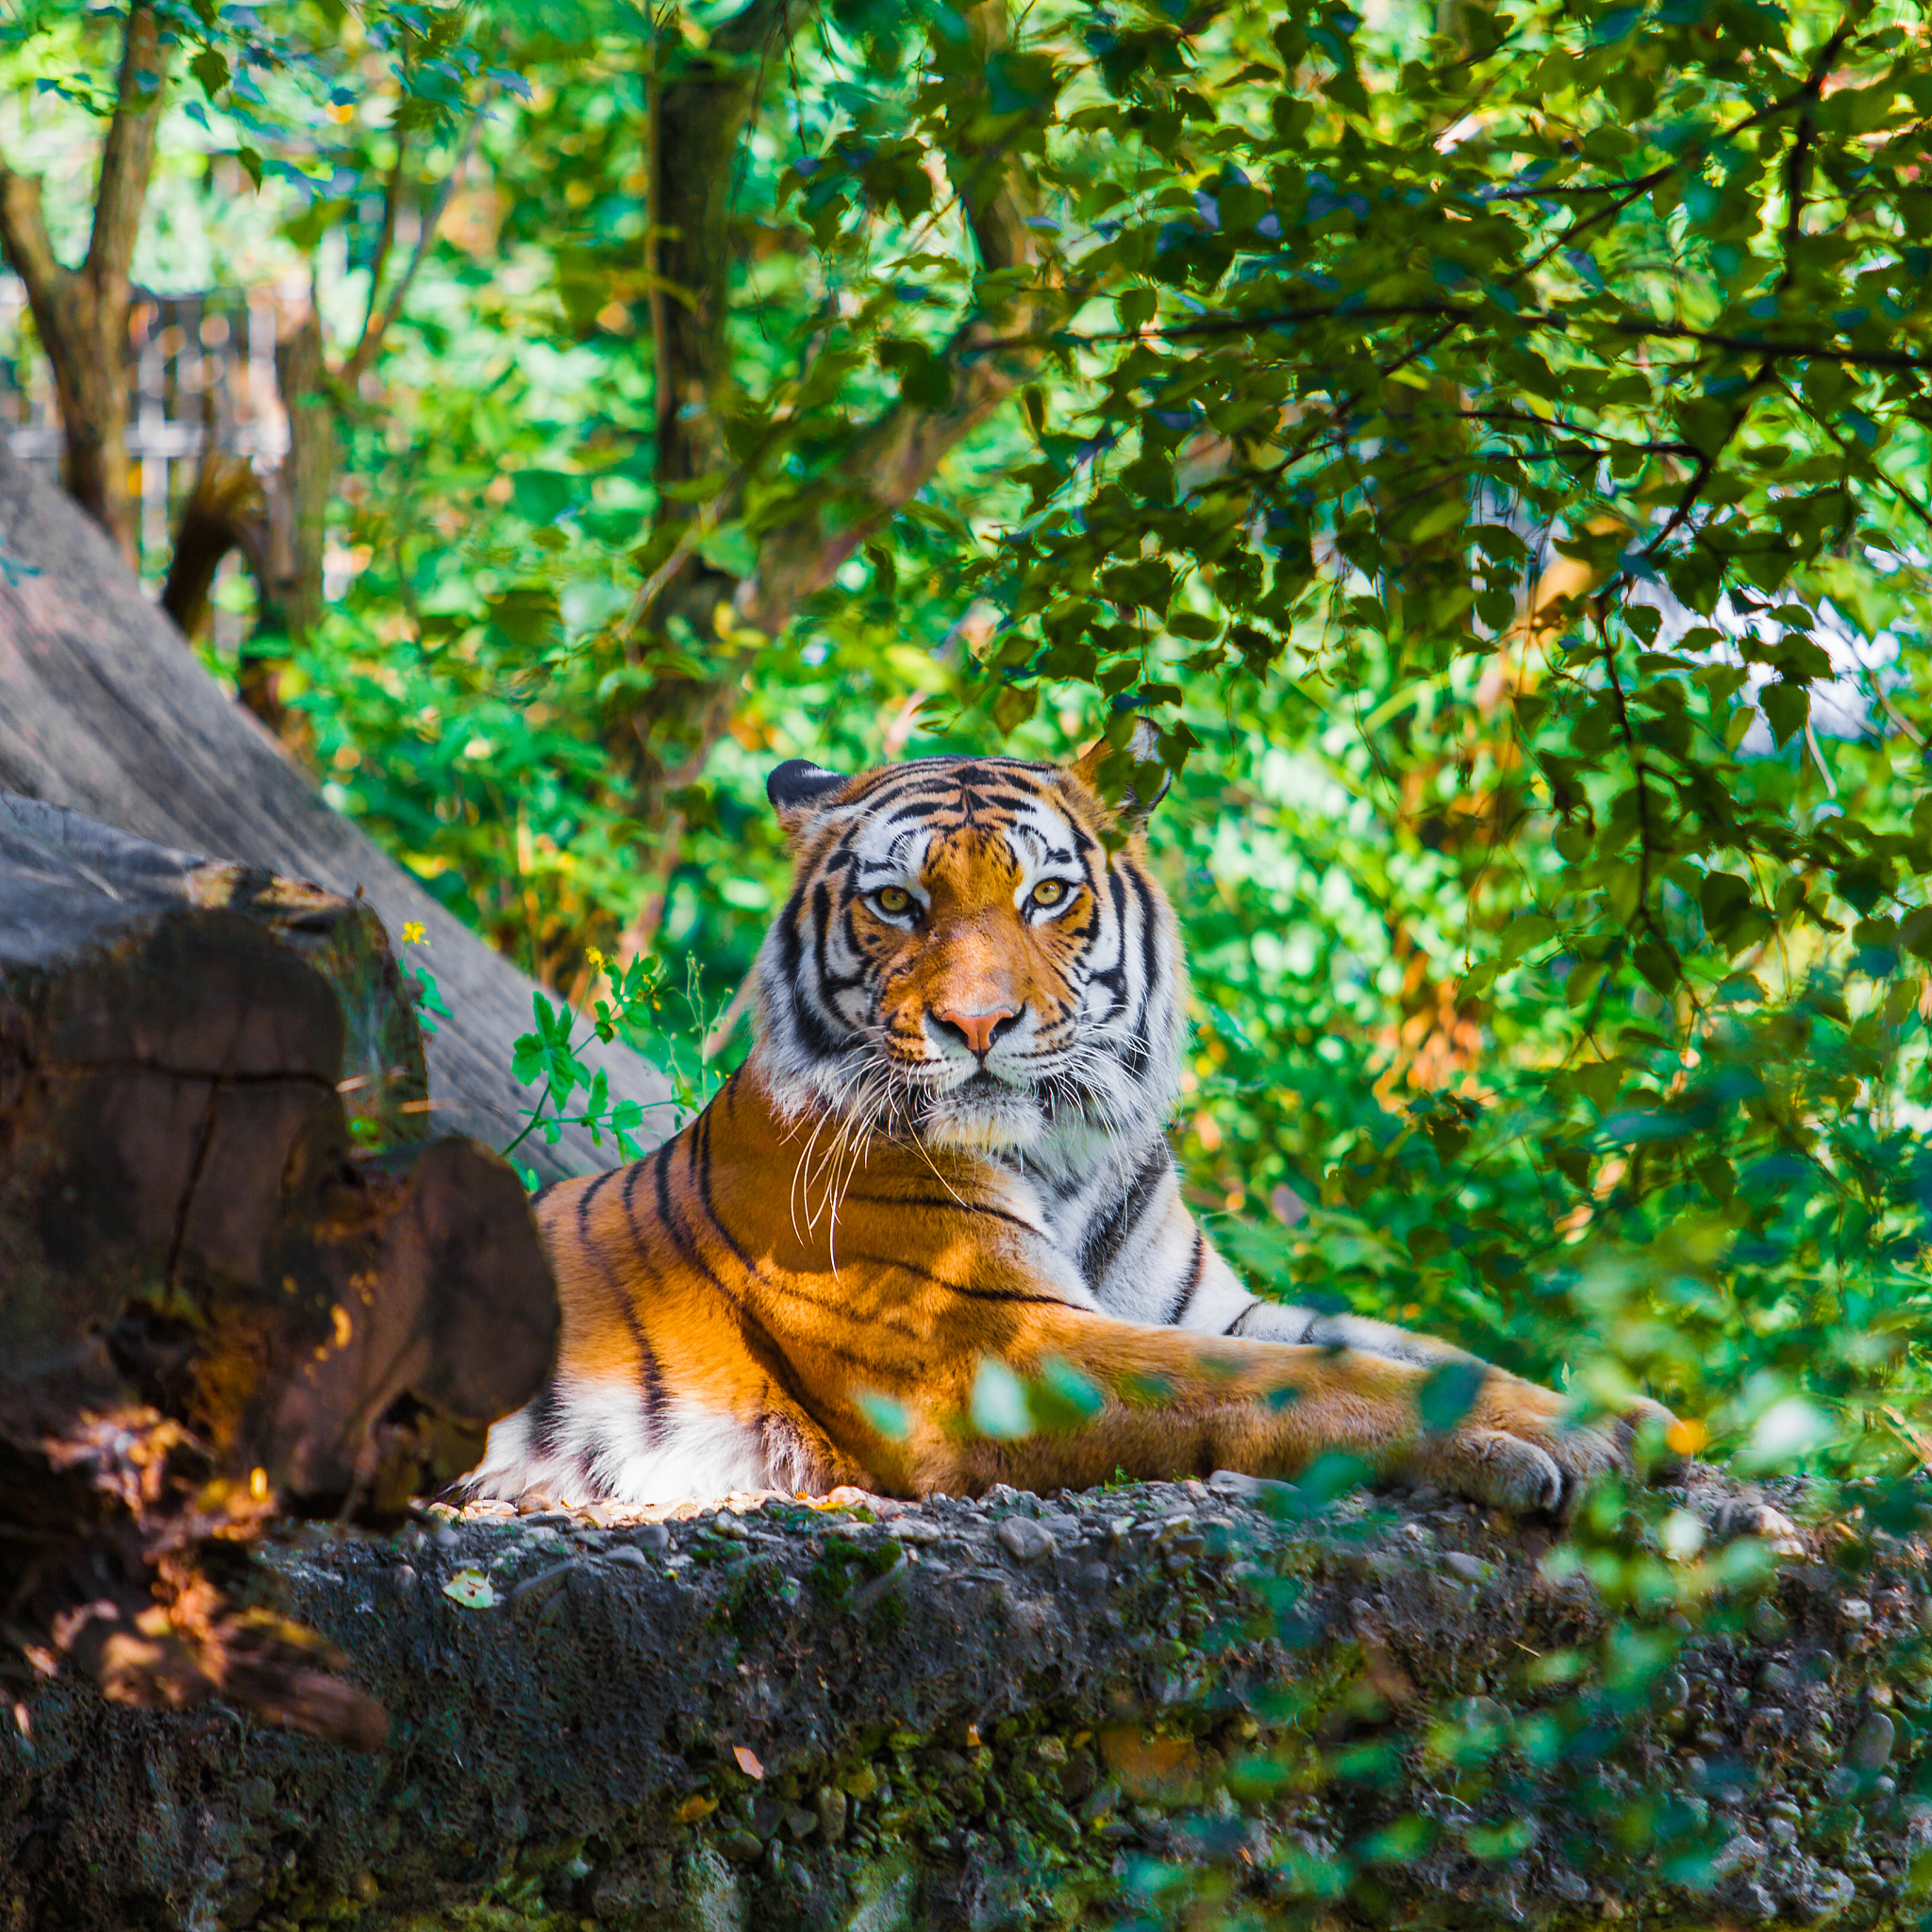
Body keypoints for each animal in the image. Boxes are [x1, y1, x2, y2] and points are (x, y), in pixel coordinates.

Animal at [469, 745, 1675, 1514]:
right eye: (896, 903)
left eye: (1047, 894)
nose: (975, 1023)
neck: (1063, 1157)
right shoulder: (998, 1347)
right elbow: (1291, 1381)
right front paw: (1546, 1443)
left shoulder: (1201, 1304)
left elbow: (1404, 1347)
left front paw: (1623, 1418)